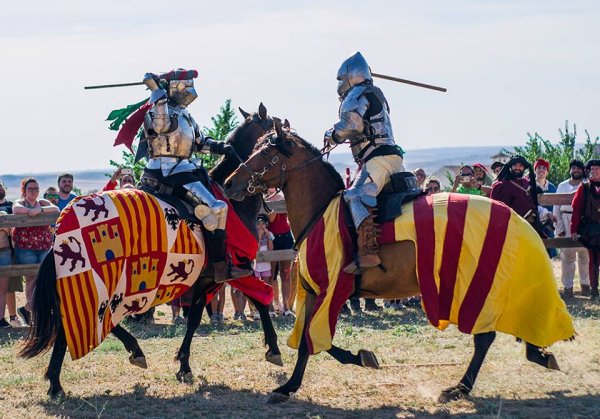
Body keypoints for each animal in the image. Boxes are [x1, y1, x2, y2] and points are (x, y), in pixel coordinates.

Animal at [18, 103, 282, 398]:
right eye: (271, 132)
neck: (234, 200)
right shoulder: (236, 269)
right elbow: (261, 299)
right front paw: (274, 349)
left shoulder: (205, 279)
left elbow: (194, 318)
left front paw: (184, 365)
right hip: (96, 284)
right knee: (79, 326)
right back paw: (58, 381)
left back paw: (126, 354)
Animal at [223, 120, 576, 404]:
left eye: (267, 155)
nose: (229, 184)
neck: (321, 210)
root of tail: (517, 217)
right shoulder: (313, 294)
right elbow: (308, 341)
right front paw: (297, 382)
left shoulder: (331, 291)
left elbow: (313, 340)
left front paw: (344, 364)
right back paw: (529, 356)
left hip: (474, 290)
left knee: (485, 337)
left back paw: (461, 386)